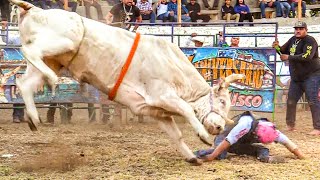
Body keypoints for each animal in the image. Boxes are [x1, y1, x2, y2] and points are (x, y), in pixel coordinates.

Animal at [10, 0, 245, 165]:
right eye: (222, 101)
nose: (219, 126)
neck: (175, 70)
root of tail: (35, 9)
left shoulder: (153, 110)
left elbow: (176, 135)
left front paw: (192, 157)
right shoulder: (163, 95)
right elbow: (187, 110)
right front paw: (203, 136)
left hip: (53, 58)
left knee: (24, 83)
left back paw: (33, 117)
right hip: (62, 43)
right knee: (30, 52)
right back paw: (50, 79)